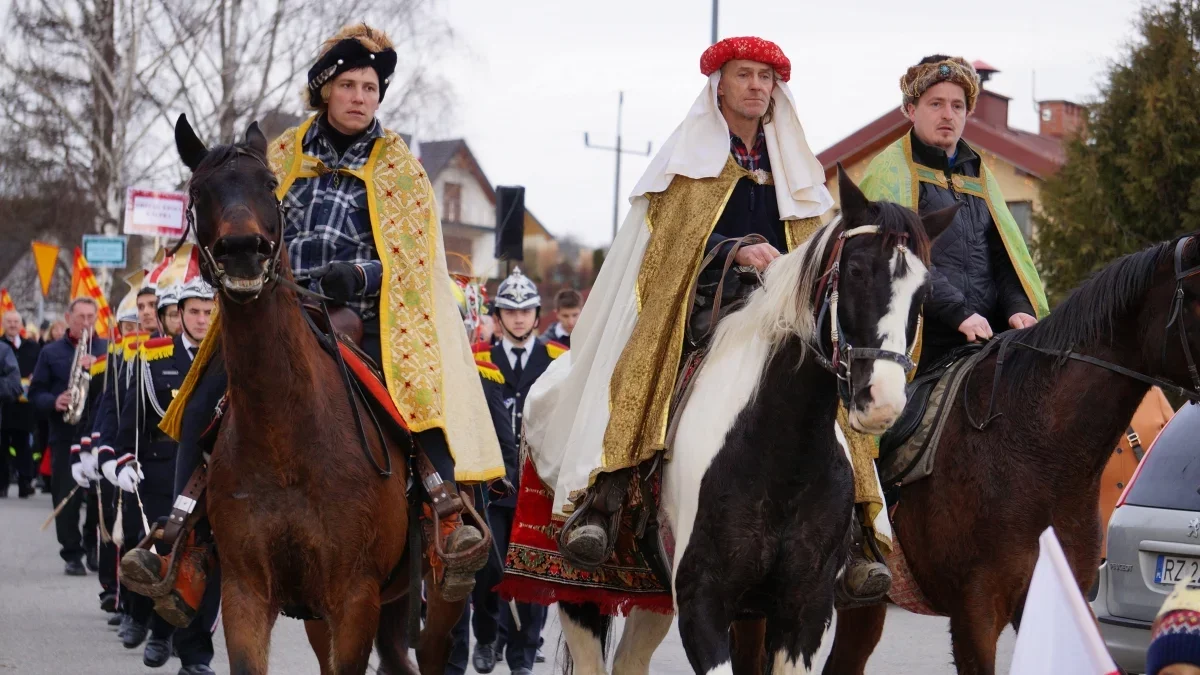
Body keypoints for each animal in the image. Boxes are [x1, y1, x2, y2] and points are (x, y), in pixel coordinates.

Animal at [174, 117, 463, 672]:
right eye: (199, 191)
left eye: (268, 184)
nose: (242, 251)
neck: (285, 439)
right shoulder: (247, 593)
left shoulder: (353, 597)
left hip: (437, 599)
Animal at [552, 169, 945, 672]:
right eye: (856, 271)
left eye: (924, 292)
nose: (882, 401)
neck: (782, 455)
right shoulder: (702, 601)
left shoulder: (804, 609)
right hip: (579, 590)